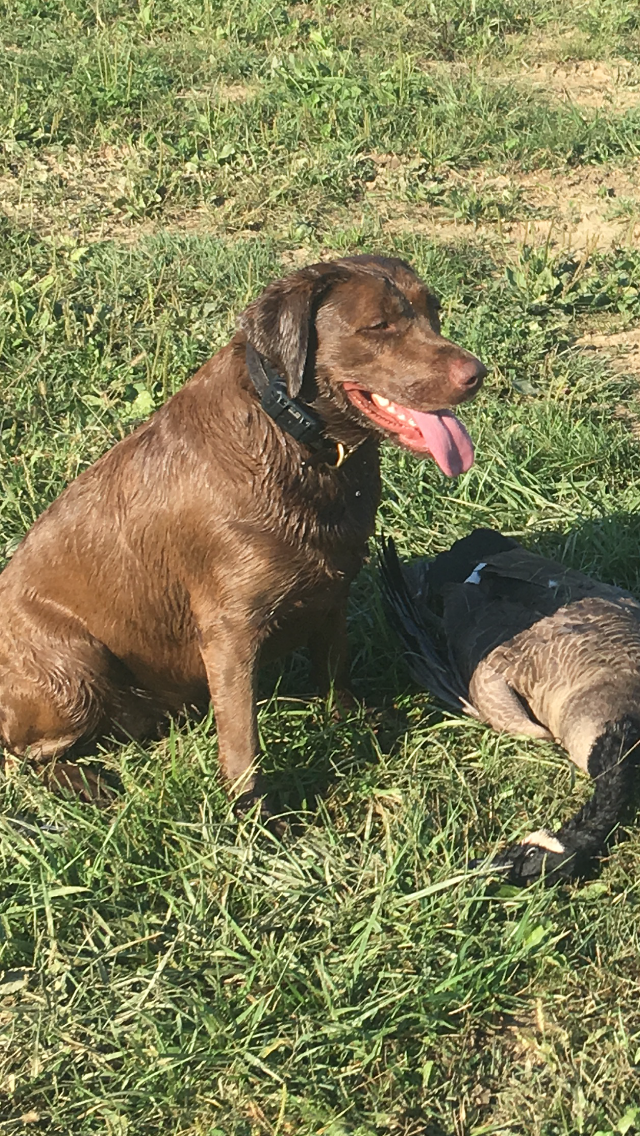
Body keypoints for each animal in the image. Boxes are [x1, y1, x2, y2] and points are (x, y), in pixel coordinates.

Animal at [0, 257, 486, 808]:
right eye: (379, 326)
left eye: (433, 311)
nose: (476, 374)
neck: (299, 441)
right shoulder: (229, 628)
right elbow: (240, 733)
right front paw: (254, 810)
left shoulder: (334, 588)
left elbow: (334, 664)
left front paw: (352, 718)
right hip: (74, 666)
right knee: (24, 753)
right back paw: (83, 781)